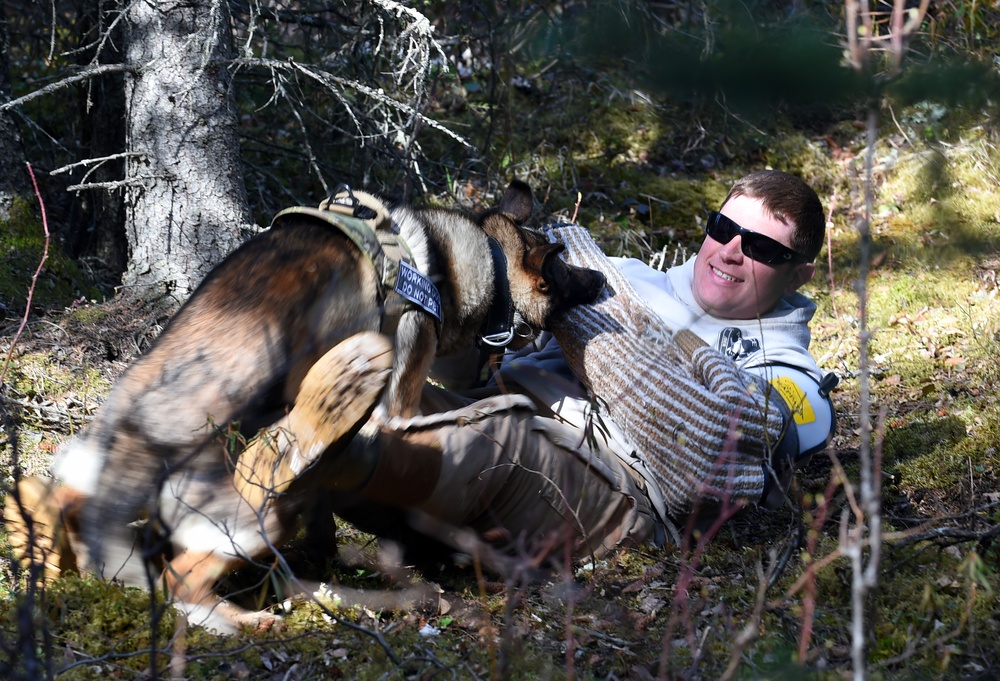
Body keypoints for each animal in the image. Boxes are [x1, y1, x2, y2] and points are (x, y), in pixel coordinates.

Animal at [7, 179, 604, 632]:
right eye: (561, 269)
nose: (600, 276)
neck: (469, 266)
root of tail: (139, 411)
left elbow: (325, 526)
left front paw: (328, 566)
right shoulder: (403, 399)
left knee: (71, 502)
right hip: (251, 517)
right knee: (178, 580)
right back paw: (242, 622)